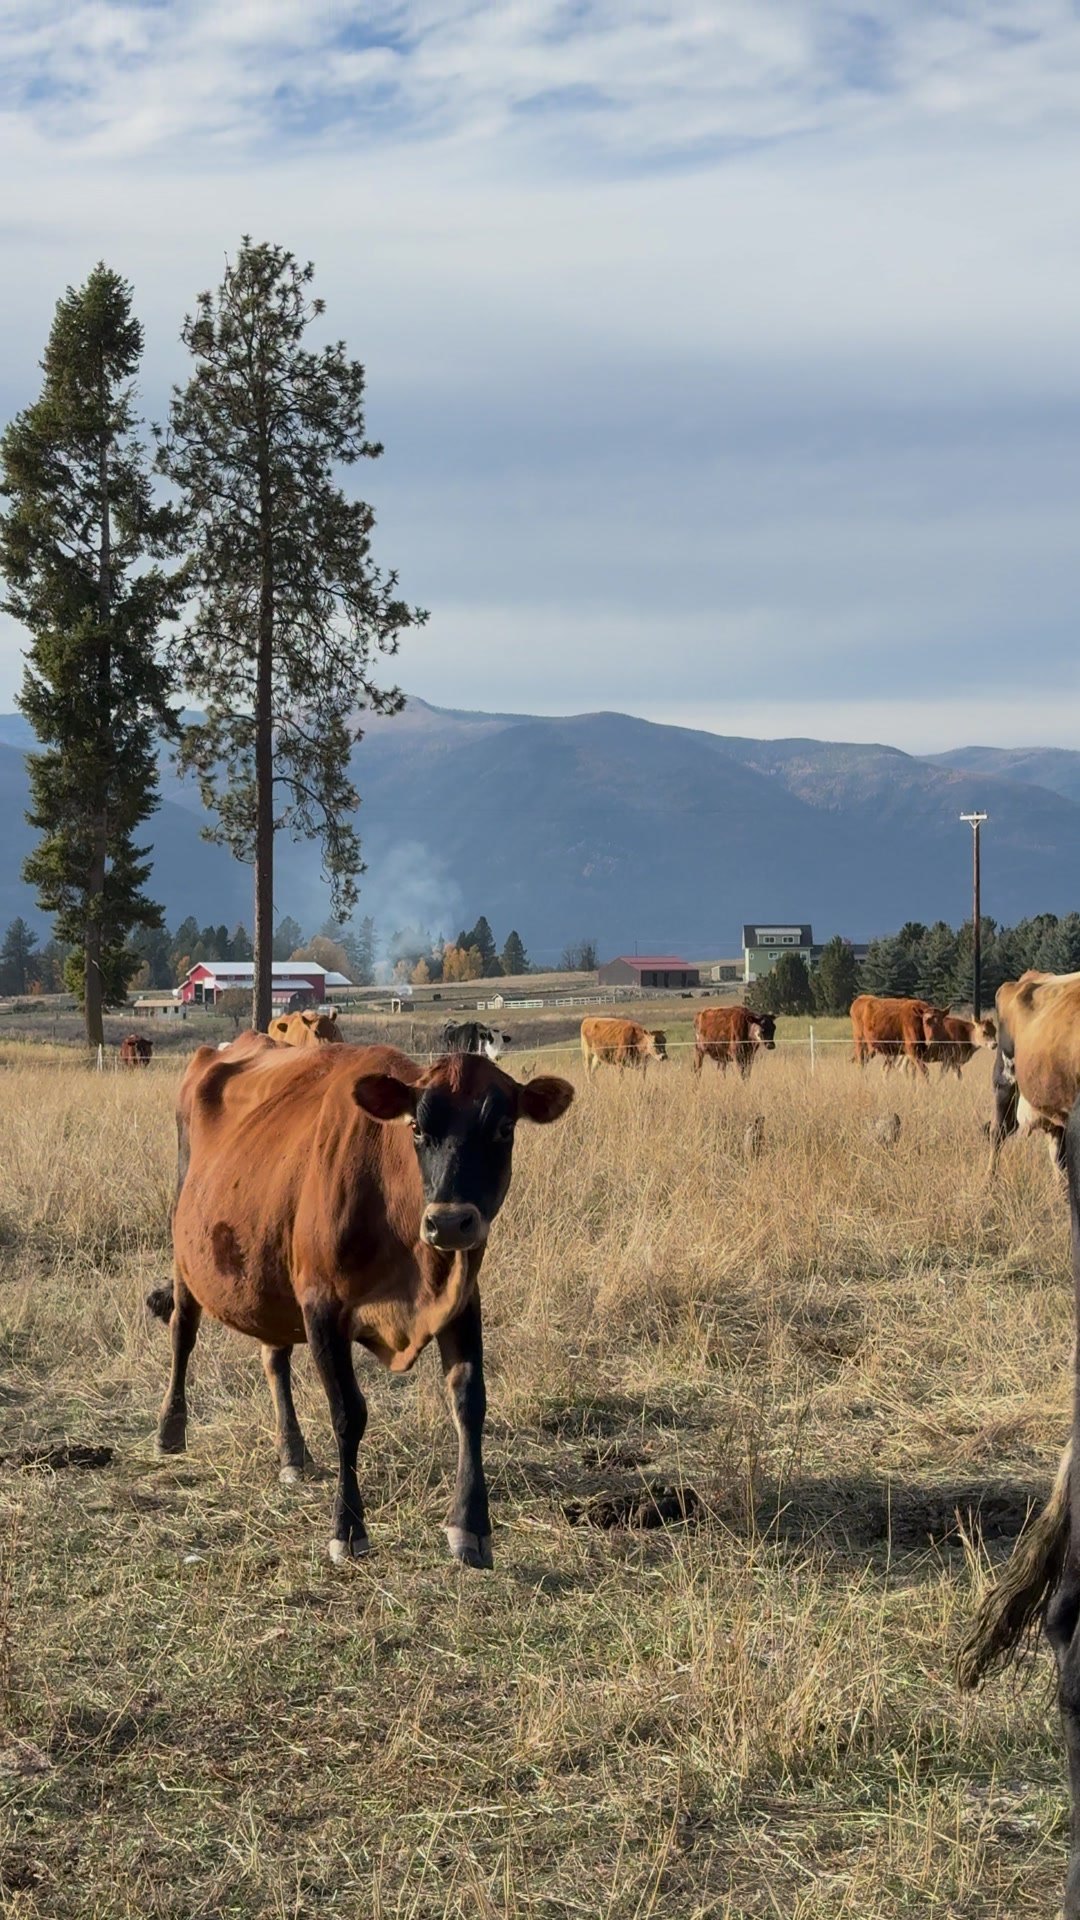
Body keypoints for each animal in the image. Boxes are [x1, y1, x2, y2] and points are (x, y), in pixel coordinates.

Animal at [147, 1042, 574, 1570]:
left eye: (504, 1128)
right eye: (417, 1128)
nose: (449, 1222)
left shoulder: (462, 1300)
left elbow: (469, 1401)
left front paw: (471, 1526)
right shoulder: (322, 1307)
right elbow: (348, 1413)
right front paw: (348, 1527)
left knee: (274, 1357)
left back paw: (292, 1452)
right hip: (185, 1253)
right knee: (183, 1333)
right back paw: (170, 1429)